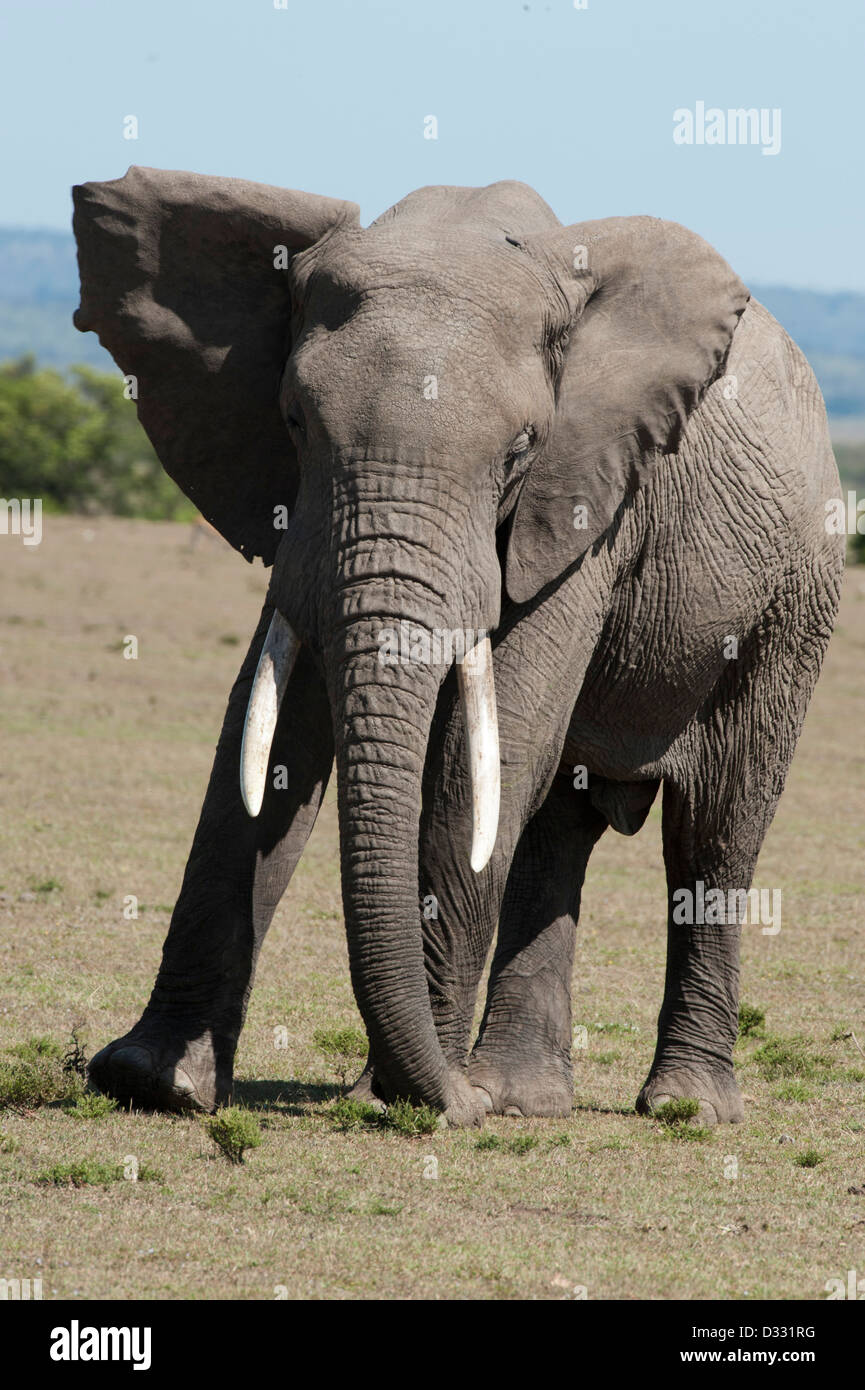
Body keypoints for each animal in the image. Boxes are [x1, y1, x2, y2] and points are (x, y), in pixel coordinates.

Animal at [72, 166, 844, 1128]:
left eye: (519, 450)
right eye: (293, 420)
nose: (448, 1101)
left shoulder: (587, 506)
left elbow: (484, 755)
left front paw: (404, 1102)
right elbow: (261, 739)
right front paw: (149, 1083)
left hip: (793, 601)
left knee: (714, 831)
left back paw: (681, 1110)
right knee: (556, 830)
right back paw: (518, 1097)